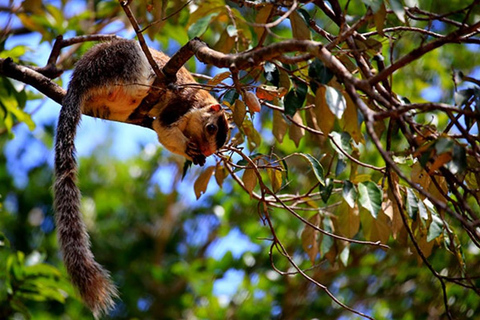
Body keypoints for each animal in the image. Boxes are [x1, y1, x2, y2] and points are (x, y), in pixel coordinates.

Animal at [53, 38, 230, 316]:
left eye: (214, 149)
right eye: (210, 128)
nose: (204, 150)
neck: (198, 104)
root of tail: (78, 81)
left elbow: (163, 135)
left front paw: (195, 156)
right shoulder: (180, 106)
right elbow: (163, 128)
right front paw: (187, 148)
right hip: (122, 62)